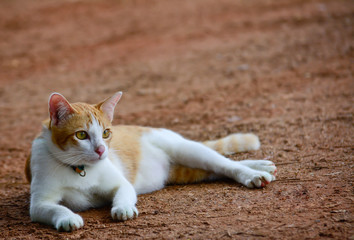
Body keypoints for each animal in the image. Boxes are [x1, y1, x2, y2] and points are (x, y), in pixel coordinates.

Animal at [25, 91, 276, 231]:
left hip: (186, 150)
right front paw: (68, 219)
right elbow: (56, 208)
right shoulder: (39, 204)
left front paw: (123, 208)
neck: (80, 169)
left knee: (225, 163)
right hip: (189, 170)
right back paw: (261, 167)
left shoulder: (121, 184)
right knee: (218, 169)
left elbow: (124, 195)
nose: (101, 150)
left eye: (106, 133)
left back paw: (256, 172)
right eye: (81, 135)